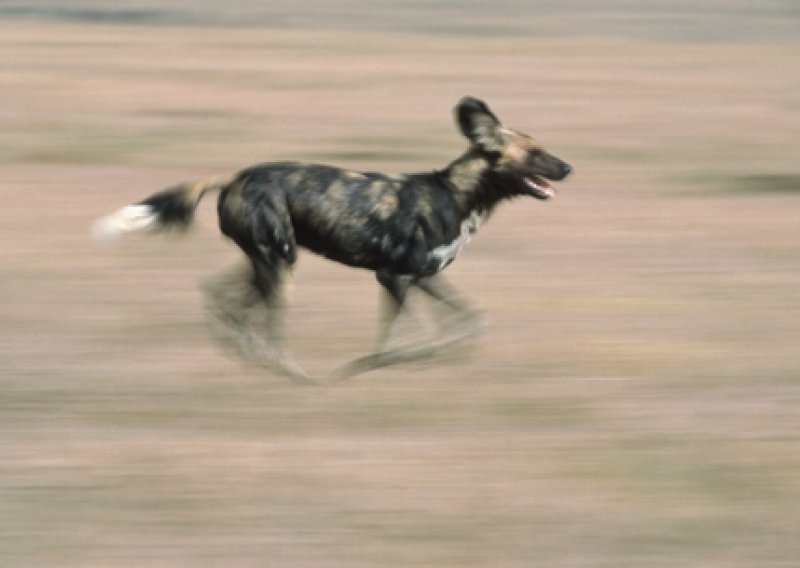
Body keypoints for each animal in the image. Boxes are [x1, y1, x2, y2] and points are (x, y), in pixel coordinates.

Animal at [92, 97, 568, 384]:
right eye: (536, 153)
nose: (568, 167)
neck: (457, 195)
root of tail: (236, 176)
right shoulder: (393, 278)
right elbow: (405, 343)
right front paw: (368, 368)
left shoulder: (423, 277)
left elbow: (467, 322)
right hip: (279, 264)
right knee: (264, 323)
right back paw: (288, 372)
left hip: (267, 260)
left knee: (221, 300)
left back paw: (247, 358)